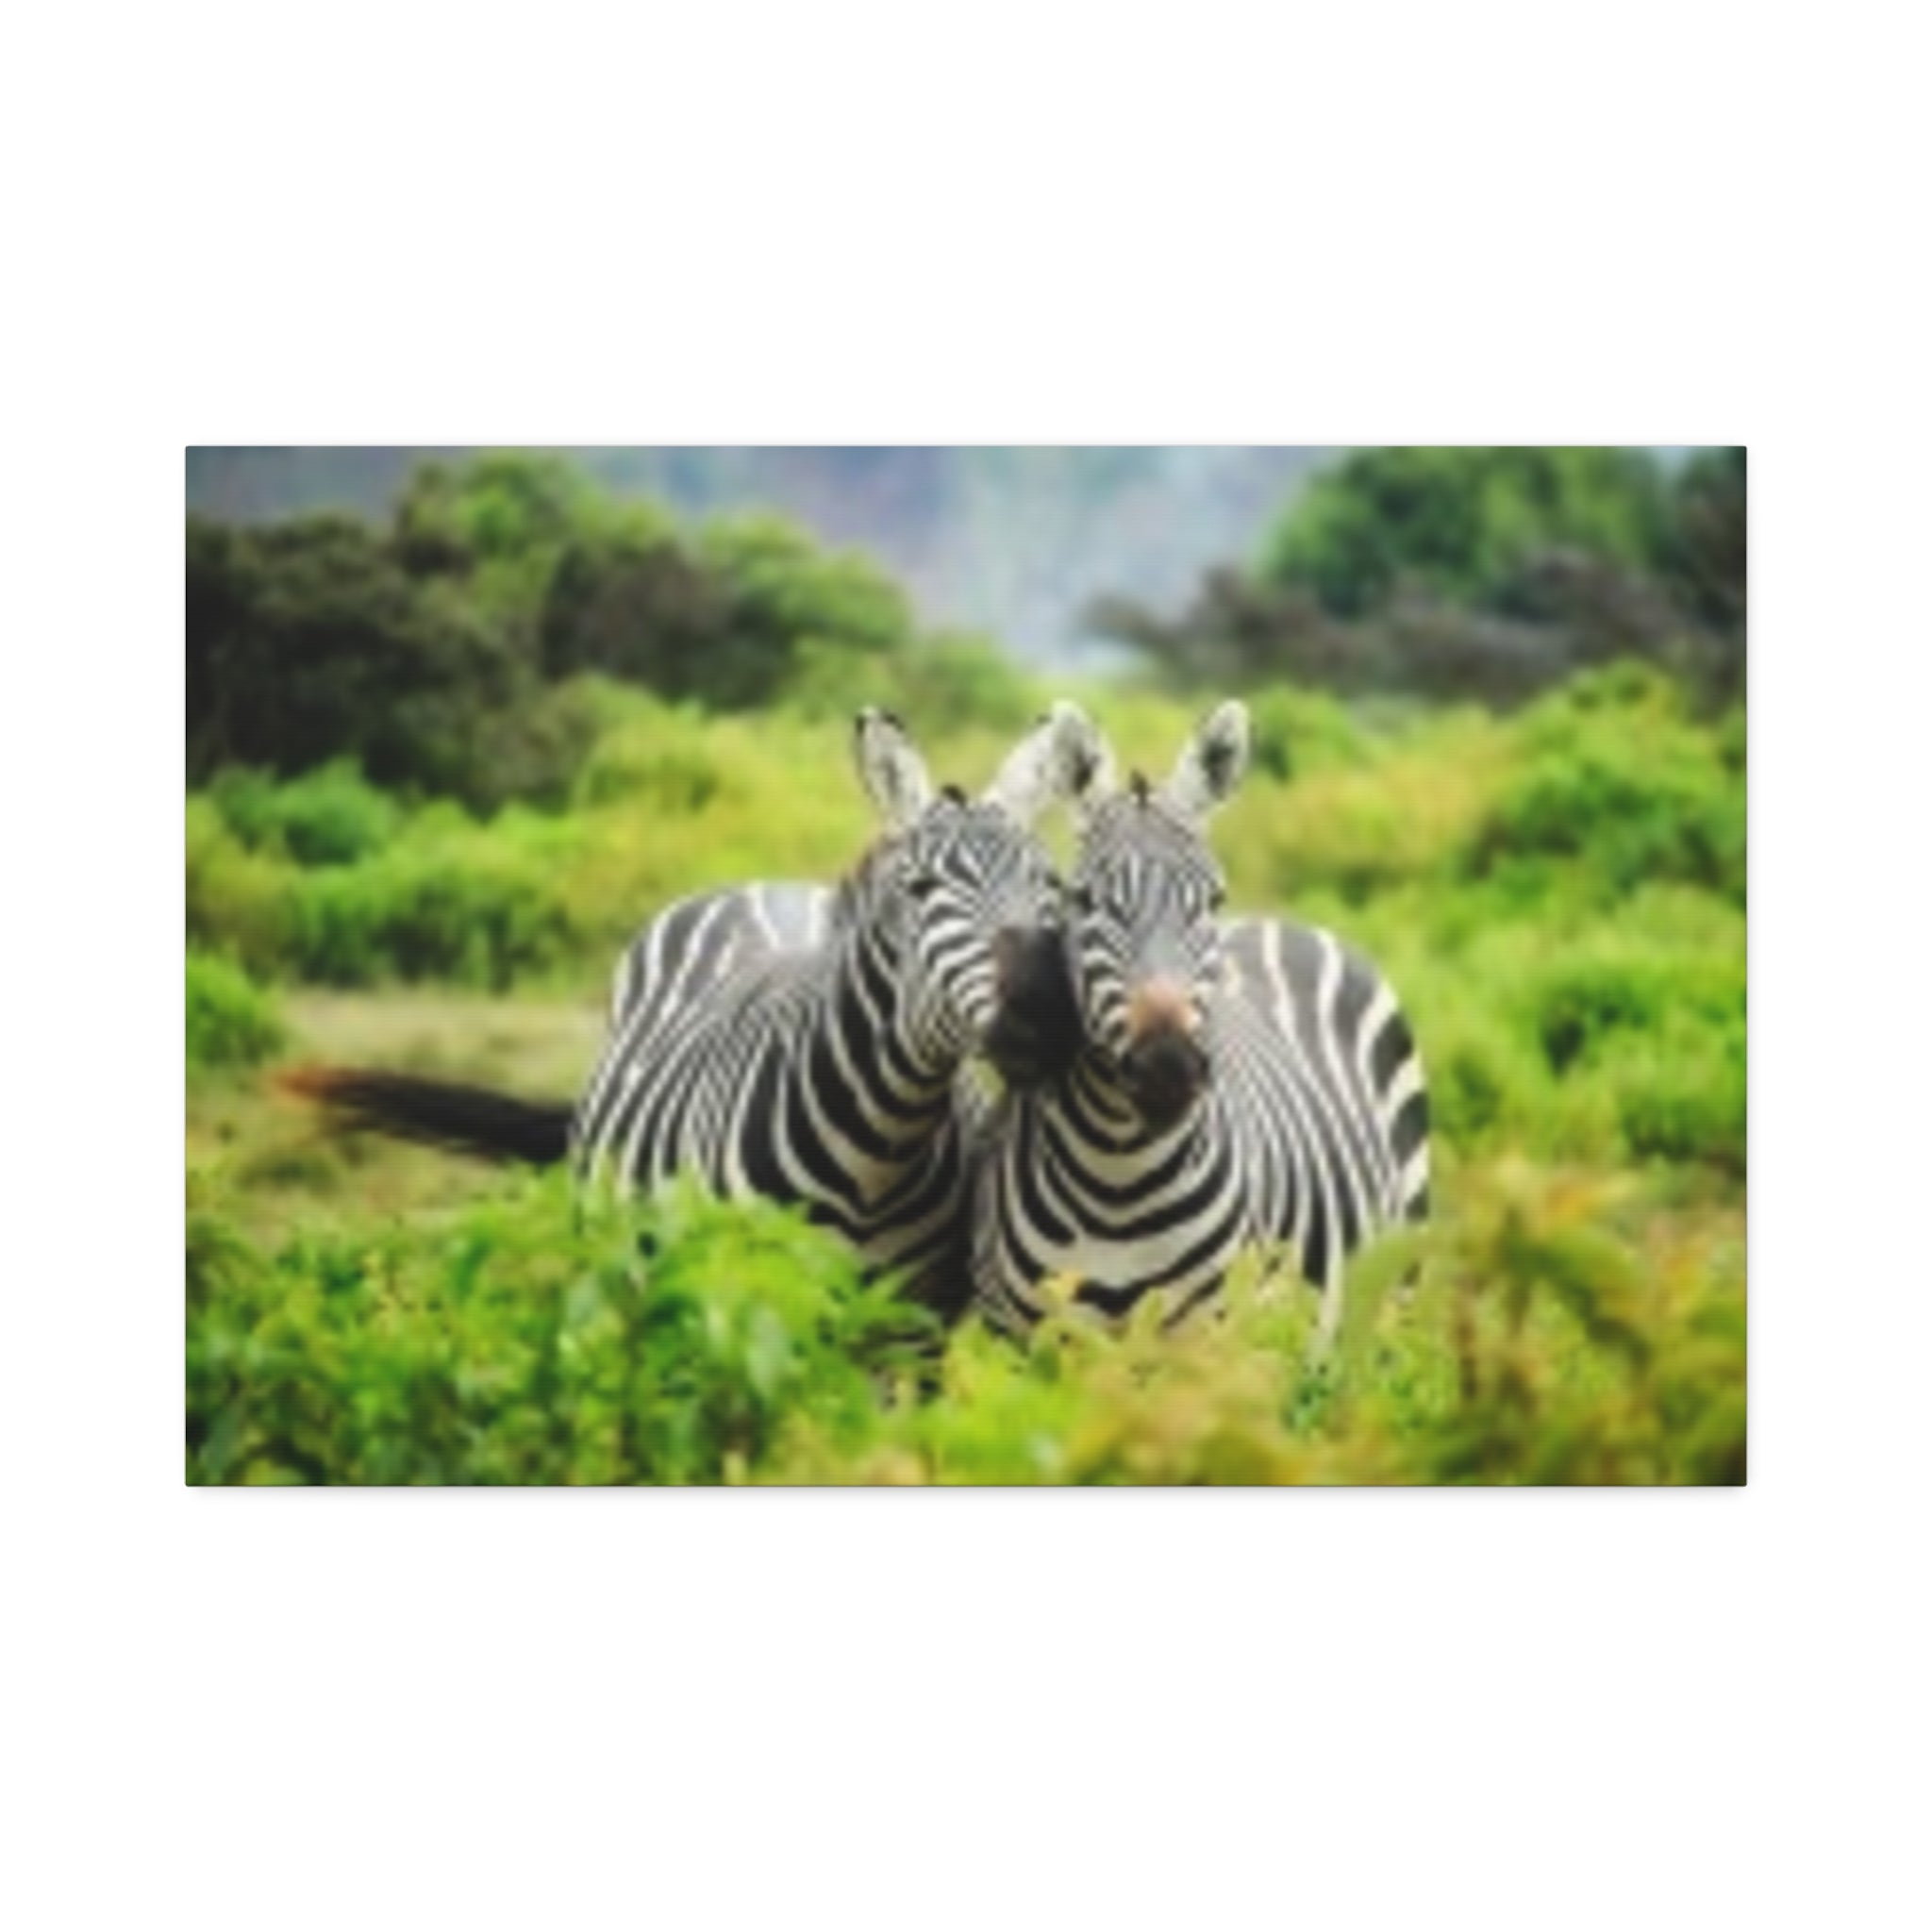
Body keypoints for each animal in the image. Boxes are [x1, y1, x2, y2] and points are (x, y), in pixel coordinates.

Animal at [969, 699, 1431, 1340]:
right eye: (1083, 900)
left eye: (1213, 900)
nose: (1168, 1066)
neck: (1118, 1179)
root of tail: (1281, 922)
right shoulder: (1017, 1337)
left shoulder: (1209, 1335)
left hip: (1392, 1296)